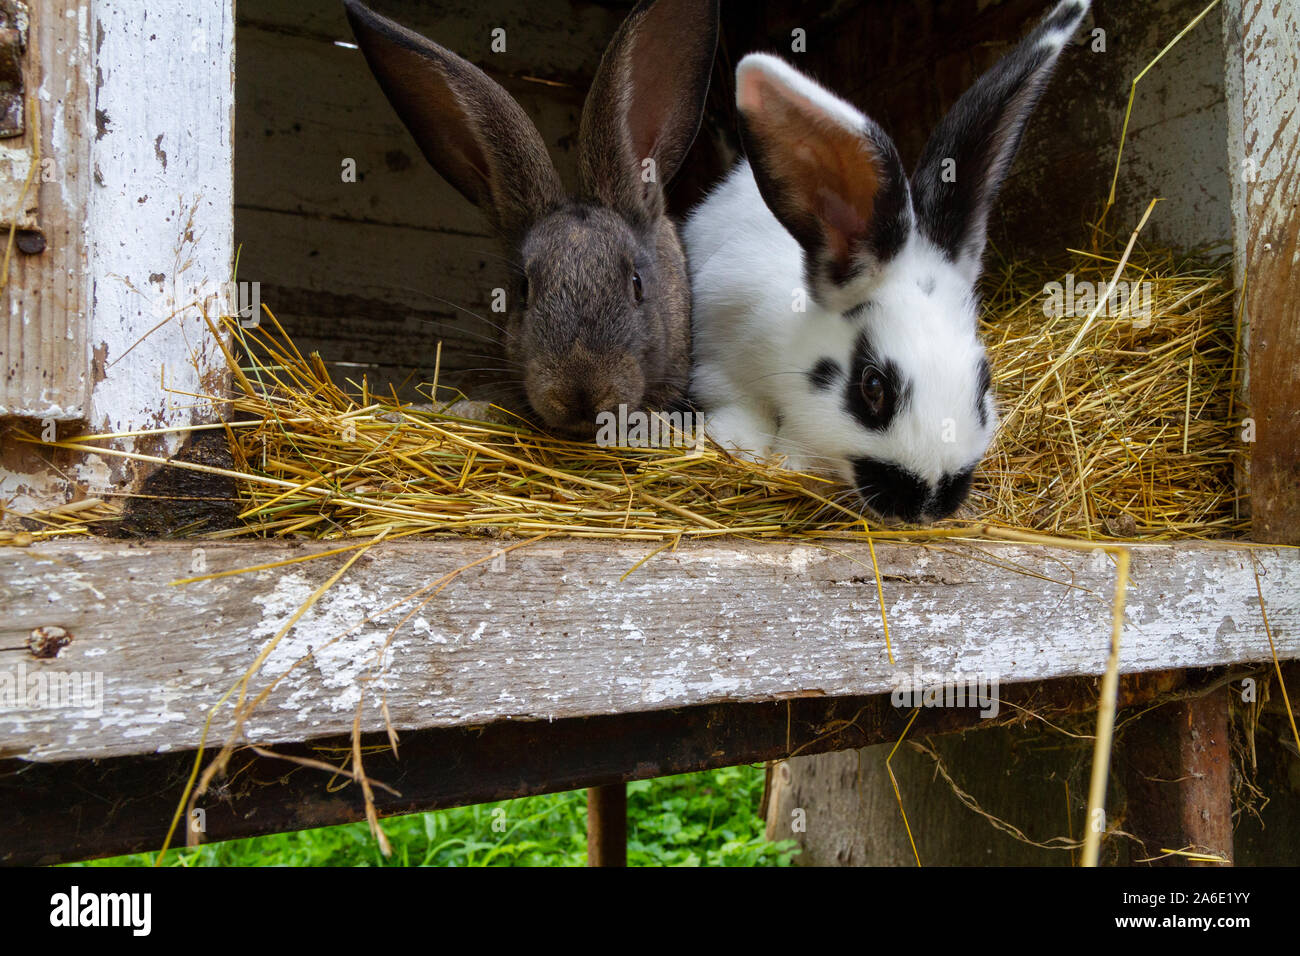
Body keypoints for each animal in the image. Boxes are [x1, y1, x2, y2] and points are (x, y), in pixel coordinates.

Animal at [683, 0, 1091, 522]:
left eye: (984, 382)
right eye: (872, 387)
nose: (929, 503)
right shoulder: (719, 363)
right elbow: (741, 410)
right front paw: (748, 450)